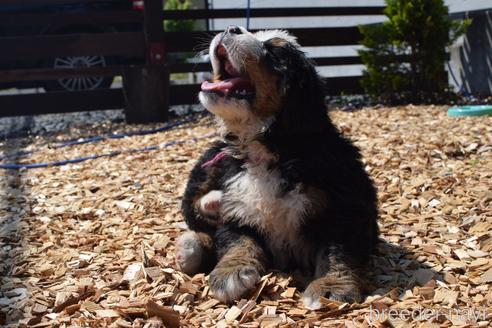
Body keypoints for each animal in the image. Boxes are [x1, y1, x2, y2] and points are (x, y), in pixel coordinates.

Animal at [177, 26, 380, 310]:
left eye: (275, 51)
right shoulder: (237, 208)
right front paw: (230, 272)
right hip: (210, 162)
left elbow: (338, 251)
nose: (231, 28)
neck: (272, 148)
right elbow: (236, 240)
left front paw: (330, 287)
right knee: (194, 212)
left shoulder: (345, 207)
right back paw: (195, 236)